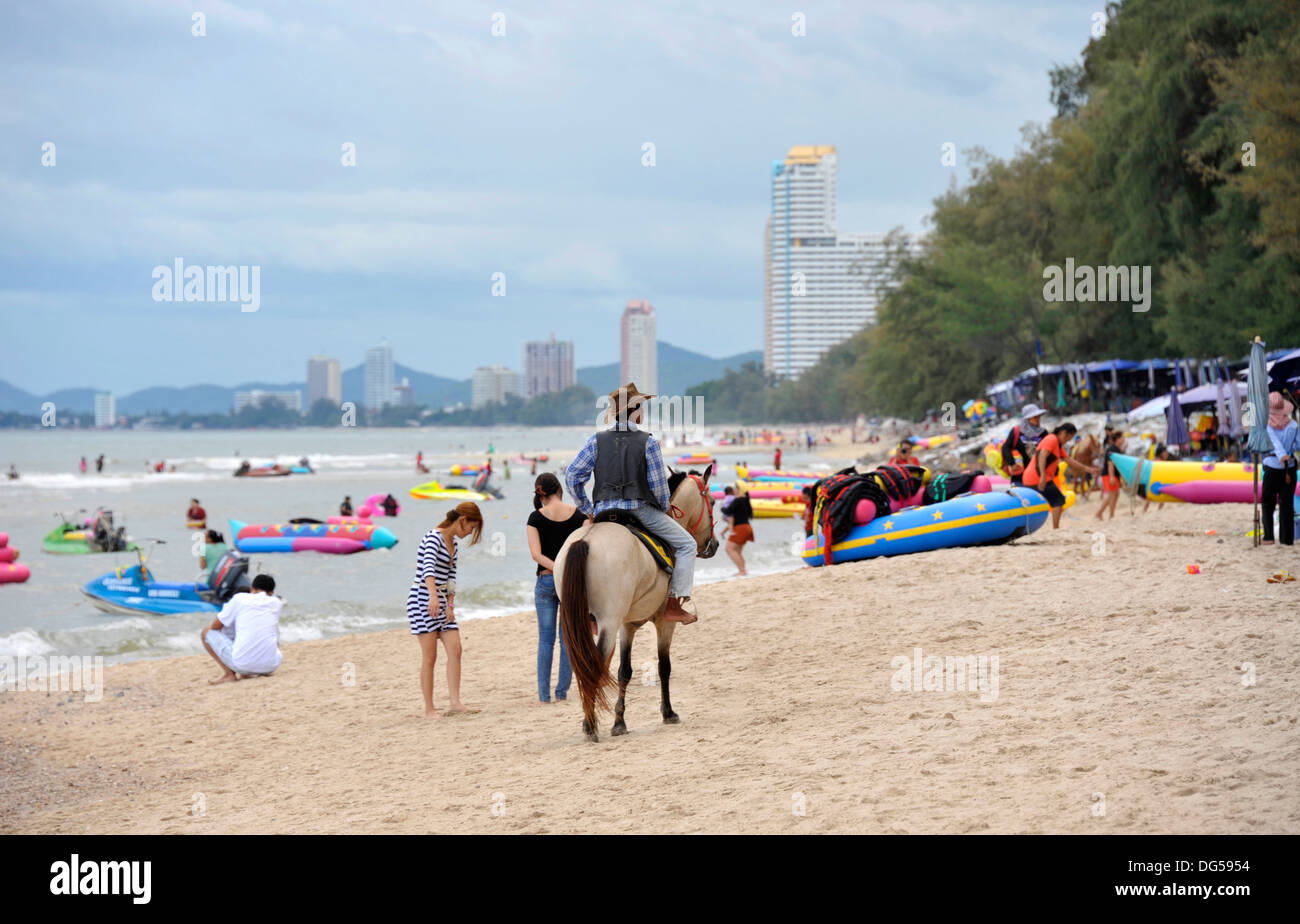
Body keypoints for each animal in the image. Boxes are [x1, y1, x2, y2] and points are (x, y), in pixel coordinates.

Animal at [556, 465, 722, 743]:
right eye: (712, 501)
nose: (715, 544)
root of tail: (586, 540)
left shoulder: (628, 625)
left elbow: (624, 671)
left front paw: (619, 722)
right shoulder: (664, 622)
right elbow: (664, 666)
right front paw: (668, 713)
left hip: (579, 623)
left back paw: (588, 721)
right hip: (608, 623)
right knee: (594, 665)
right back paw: (590, 725)